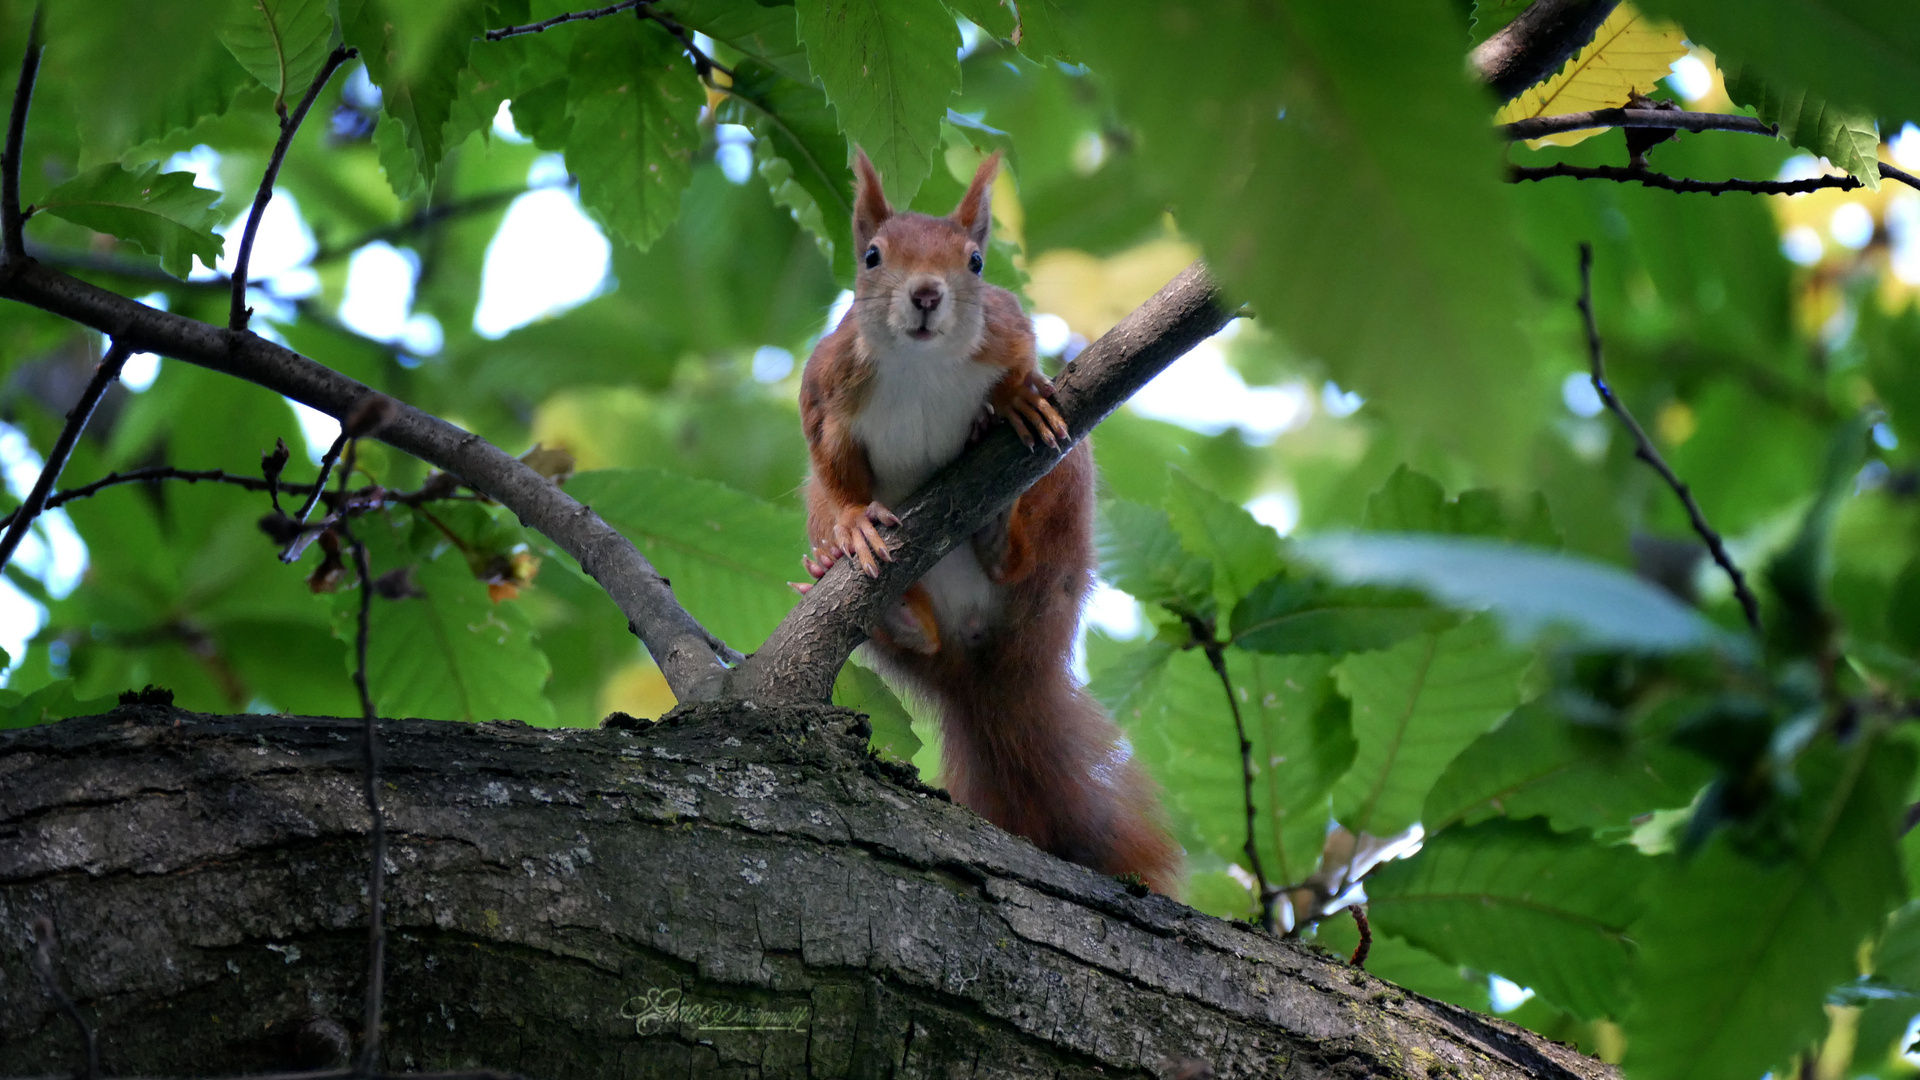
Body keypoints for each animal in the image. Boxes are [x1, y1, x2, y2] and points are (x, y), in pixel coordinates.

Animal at [791, 151, 1175, 891]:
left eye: (974, 262)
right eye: (873, 256)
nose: (926, 294)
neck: (919, 365)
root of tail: (989, 665)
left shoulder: (1007, 326)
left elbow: (1021, 361)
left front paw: (1018, 397)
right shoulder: (827, 385)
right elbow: (833, 468)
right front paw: (853, 525)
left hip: (1063, 496)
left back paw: (1000, 537)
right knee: (916, 633)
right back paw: (873, 598)